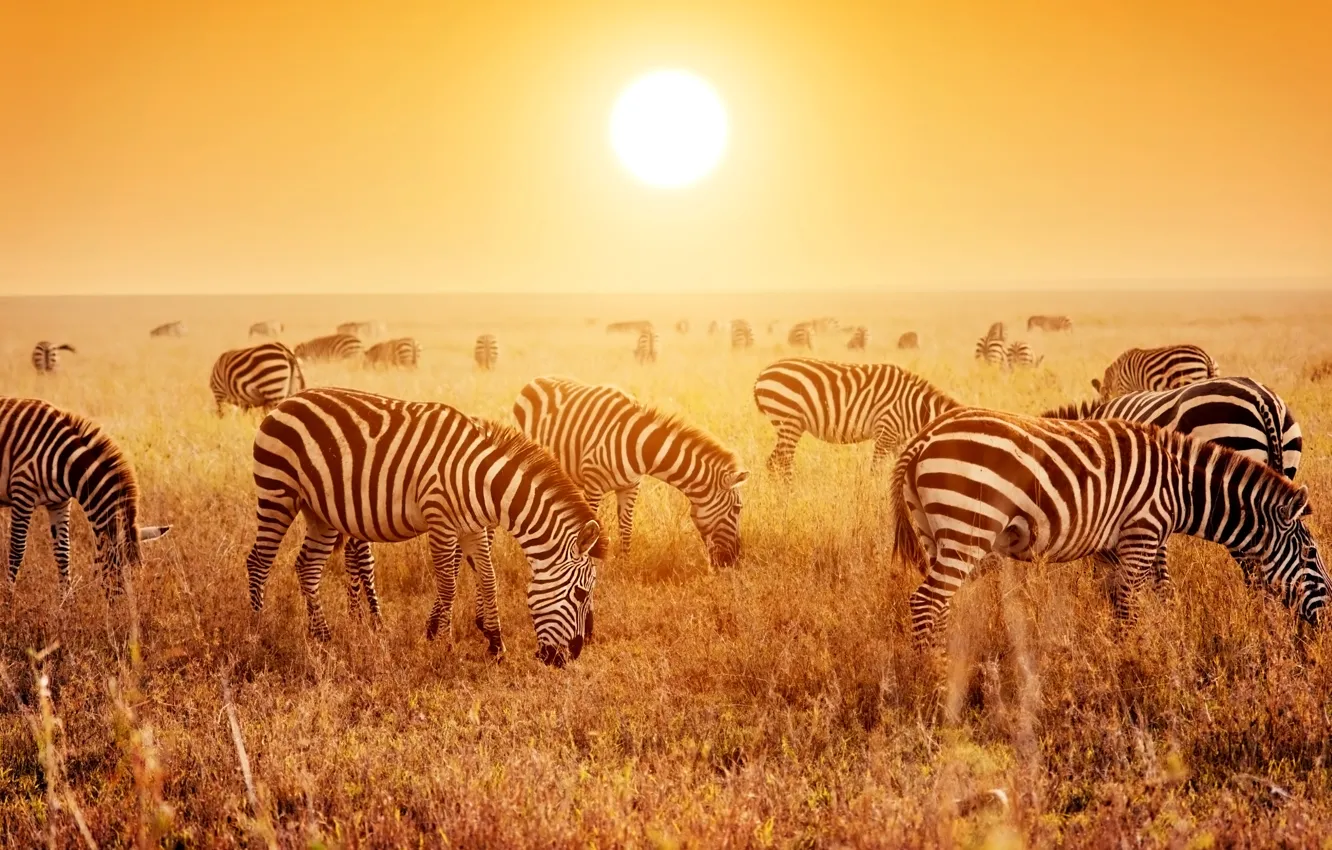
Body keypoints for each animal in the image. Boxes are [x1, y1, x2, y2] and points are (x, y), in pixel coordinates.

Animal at [1, 397, 171, 594]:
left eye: (139, 576)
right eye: (118, 572)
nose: (129, 605)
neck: (64, 462)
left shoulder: (60, 502)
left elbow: (63, 553)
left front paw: (66, 601)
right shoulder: (23, 493)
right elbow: (17, 550)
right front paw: (8, 598)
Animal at [244, 388, 603, 666]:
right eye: (581, 593)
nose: (569, 658)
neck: (482, 481)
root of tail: (287, 401)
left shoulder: (472, 528)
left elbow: (488, 580)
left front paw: (496, 645)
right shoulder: (440, 521)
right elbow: (447, 586)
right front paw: (444, 646)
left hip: (320, 511)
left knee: (307, 567)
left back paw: (322, 636)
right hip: (278, 491)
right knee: (258, 561)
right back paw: (258, 632)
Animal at [513, 377, 748, 567]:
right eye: (737, 508)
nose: (734, 560)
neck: (640, 447)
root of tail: (535, 379)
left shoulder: (631, 486)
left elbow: (626, 527)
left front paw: (625, 565)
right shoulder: (593, 486)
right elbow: (592, 527)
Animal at [753, 358, 960, 480]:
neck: (915, 407)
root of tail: (762, 373)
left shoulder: (898, 441)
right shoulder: (886, 432)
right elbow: (875, 472)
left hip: (787, 424)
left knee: (773, 463)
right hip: (789, 421)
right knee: (783, 463)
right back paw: (790, 497)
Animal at [892, 408, 1327, 648]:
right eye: (1312, 555)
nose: (1325, 625)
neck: (1180, 486)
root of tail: (925, 436)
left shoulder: (1117, 544)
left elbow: (1137, 596)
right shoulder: (1143, 532)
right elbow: (1130, 606)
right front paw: (1132, 663)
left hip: (935, 532)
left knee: (940, 604)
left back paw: (945, 662)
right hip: (967, 527)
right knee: (925, 601)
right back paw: (931, 675)